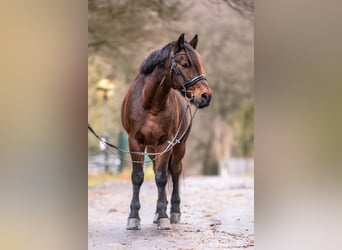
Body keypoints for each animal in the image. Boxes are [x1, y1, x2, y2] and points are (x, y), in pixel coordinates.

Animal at [120, 33, 211, 230]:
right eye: (185, 64)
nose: (206, 96)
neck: (150, 103)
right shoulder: (135, 141)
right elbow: (138, 177)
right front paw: (133, 217)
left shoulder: (167, 142)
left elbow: (162, 178)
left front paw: (163, 216)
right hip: (152, 148)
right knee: (156, 170)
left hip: (179, 147)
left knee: (175, 173)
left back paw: (174, 212)